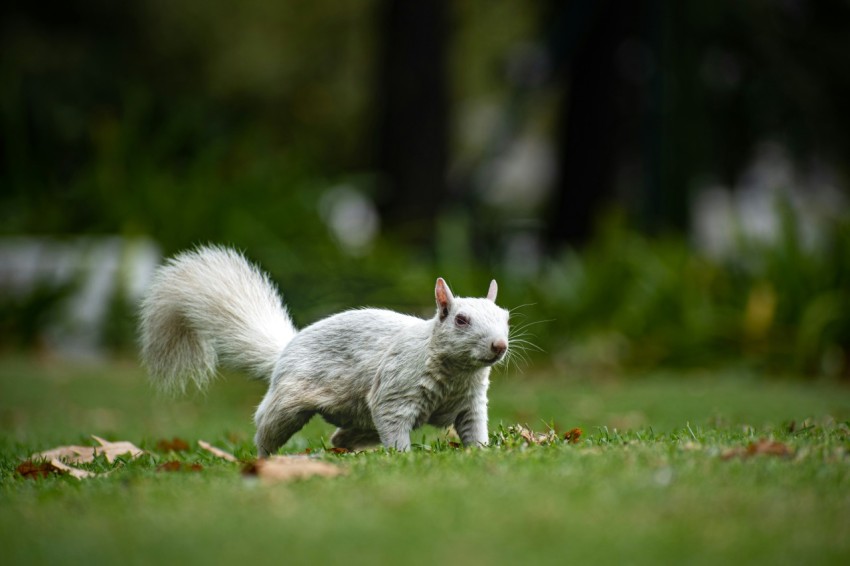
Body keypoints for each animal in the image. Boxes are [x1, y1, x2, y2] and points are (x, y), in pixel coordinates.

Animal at [139, 246, 510, 454]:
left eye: (506, 317)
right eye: (460, 320)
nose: (500, 345)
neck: (457, 373)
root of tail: (286, 349)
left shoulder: (470, 403)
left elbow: (474, 428)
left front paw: (481, 453)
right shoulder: (396, 391)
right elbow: (394, 425)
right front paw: (404, 457)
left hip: (360, 421)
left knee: (340, 436)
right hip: (288, 404)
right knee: (266, 427)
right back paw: (265, 462)